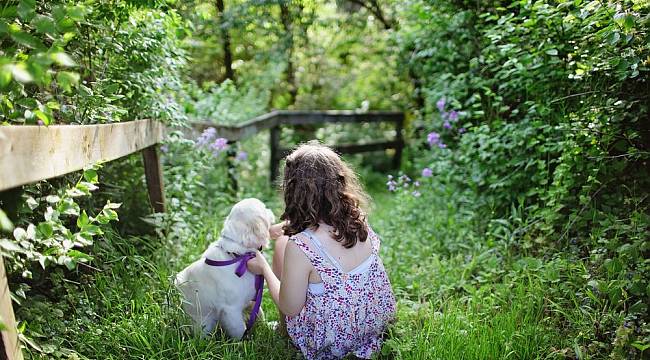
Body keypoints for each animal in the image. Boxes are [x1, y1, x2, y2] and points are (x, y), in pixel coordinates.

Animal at [173, 198, 272, 338]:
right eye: (264, 208)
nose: (270, 210)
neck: (238, 256)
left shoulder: (252, 299)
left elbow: (260, 314)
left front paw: (268, 326)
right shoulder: (231, 310)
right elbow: (239, 329)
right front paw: (244, 341)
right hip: (203, 323)